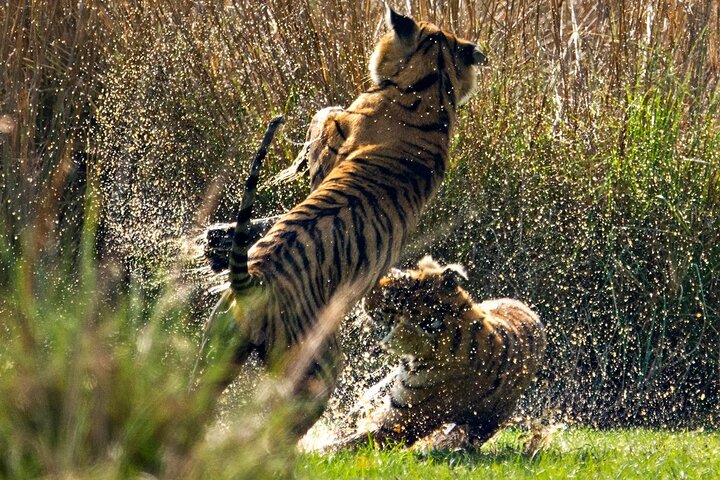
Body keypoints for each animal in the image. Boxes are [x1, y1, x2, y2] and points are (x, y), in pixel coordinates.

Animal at [205, 7, 488, 441]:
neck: (432, 87)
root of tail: (255, 280)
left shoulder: (335, 138)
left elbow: (322, 116)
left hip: (313, 368)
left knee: (276, 425)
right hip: (215, 352)